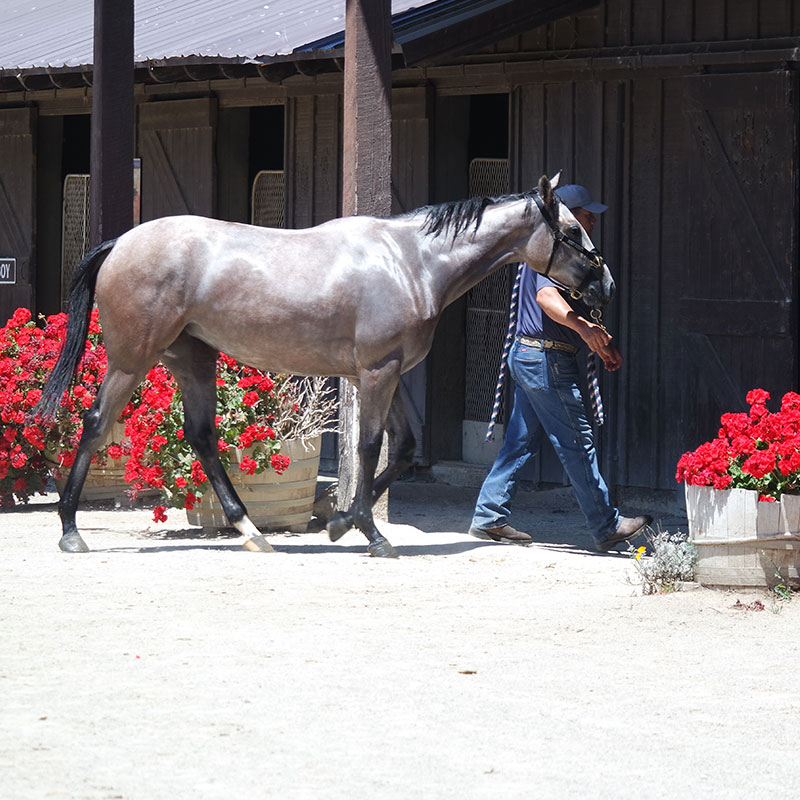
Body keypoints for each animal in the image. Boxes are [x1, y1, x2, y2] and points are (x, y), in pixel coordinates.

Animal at [36, 172, 612, 556]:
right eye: (571, 231)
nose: (604, 283)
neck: (411, 262)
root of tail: (119, 243)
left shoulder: (387, 372)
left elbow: (404, 446)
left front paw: (339, 523)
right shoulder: (378, 372)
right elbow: (371, 447)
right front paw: (371, 532)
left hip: (191, 358)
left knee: (200, 436)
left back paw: (251, 532)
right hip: (132, 359)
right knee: (96, 423)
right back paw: (70, 530)